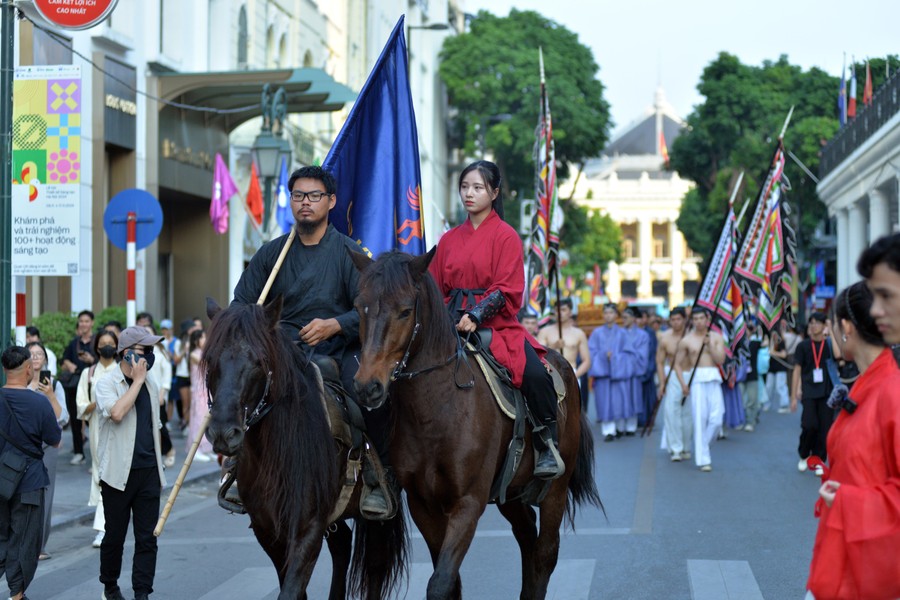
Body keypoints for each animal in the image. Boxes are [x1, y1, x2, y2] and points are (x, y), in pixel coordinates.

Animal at [204, 298, 408, 596]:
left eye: (259, 361)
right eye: (209, 360)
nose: (223, 433)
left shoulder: (308, 528)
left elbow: (291, 589)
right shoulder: (268, 530)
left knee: (376, 564)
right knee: (342, 543)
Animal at [348, 251, 600, 596]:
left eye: (405, 311)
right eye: (360, 306)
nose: (366, 387)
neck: (436, 412)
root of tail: (562, 362)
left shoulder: (467, 504)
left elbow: (440, 582)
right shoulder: (422, 505)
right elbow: (450, 580)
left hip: (556, 490)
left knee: (545, 552)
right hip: (511, 491)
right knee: (527, 539)